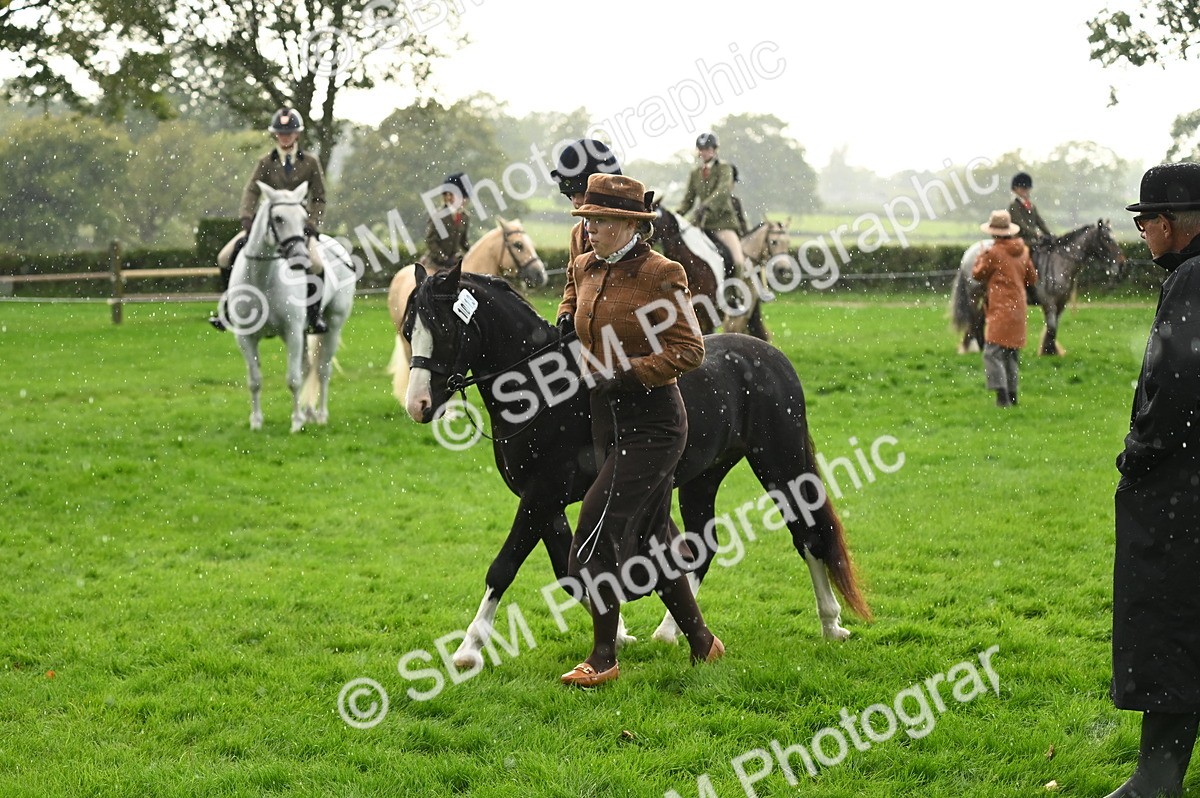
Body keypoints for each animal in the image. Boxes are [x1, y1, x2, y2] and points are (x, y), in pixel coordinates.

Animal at [222, 181, 357, 432]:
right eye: (278, 218)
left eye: (304, 218)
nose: (300, 256)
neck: (263, 278)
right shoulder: (245, 338)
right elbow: (254, 381)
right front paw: (256, 422)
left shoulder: (292, 332)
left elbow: (293, 379)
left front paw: (296, 423)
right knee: (308, 368)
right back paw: (309, 413)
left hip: (333, 325)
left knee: (322, 370)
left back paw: (320, 415)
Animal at [402, 262, 871, 670]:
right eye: (408, 331)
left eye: (444, 330)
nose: (418, 405)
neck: (543, 390)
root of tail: (773, 357)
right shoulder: (545, 502)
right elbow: (568, 571)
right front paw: (620, 631)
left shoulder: (542, 495)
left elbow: (504, 566)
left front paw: (468, 650)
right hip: (703, 478)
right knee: (703, 546)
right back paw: (671, 632)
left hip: (780, 463)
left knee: (808, 534)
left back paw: (831, 623)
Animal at [949, 220, 1125, 355]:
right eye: (1106, 239)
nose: (1122, 265)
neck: (1060, 262)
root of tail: (968, 253)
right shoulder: (1049, 302)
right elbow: (1052, 326)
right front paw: (1048, 351)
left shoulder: (1061, 302)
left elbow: (1053, 327)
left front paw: (1050, 350)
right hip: (974, 294)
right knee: (973, 318)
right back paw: (972, 347)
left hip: (988, 296)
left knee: (979, 319)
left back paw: (980, 347)